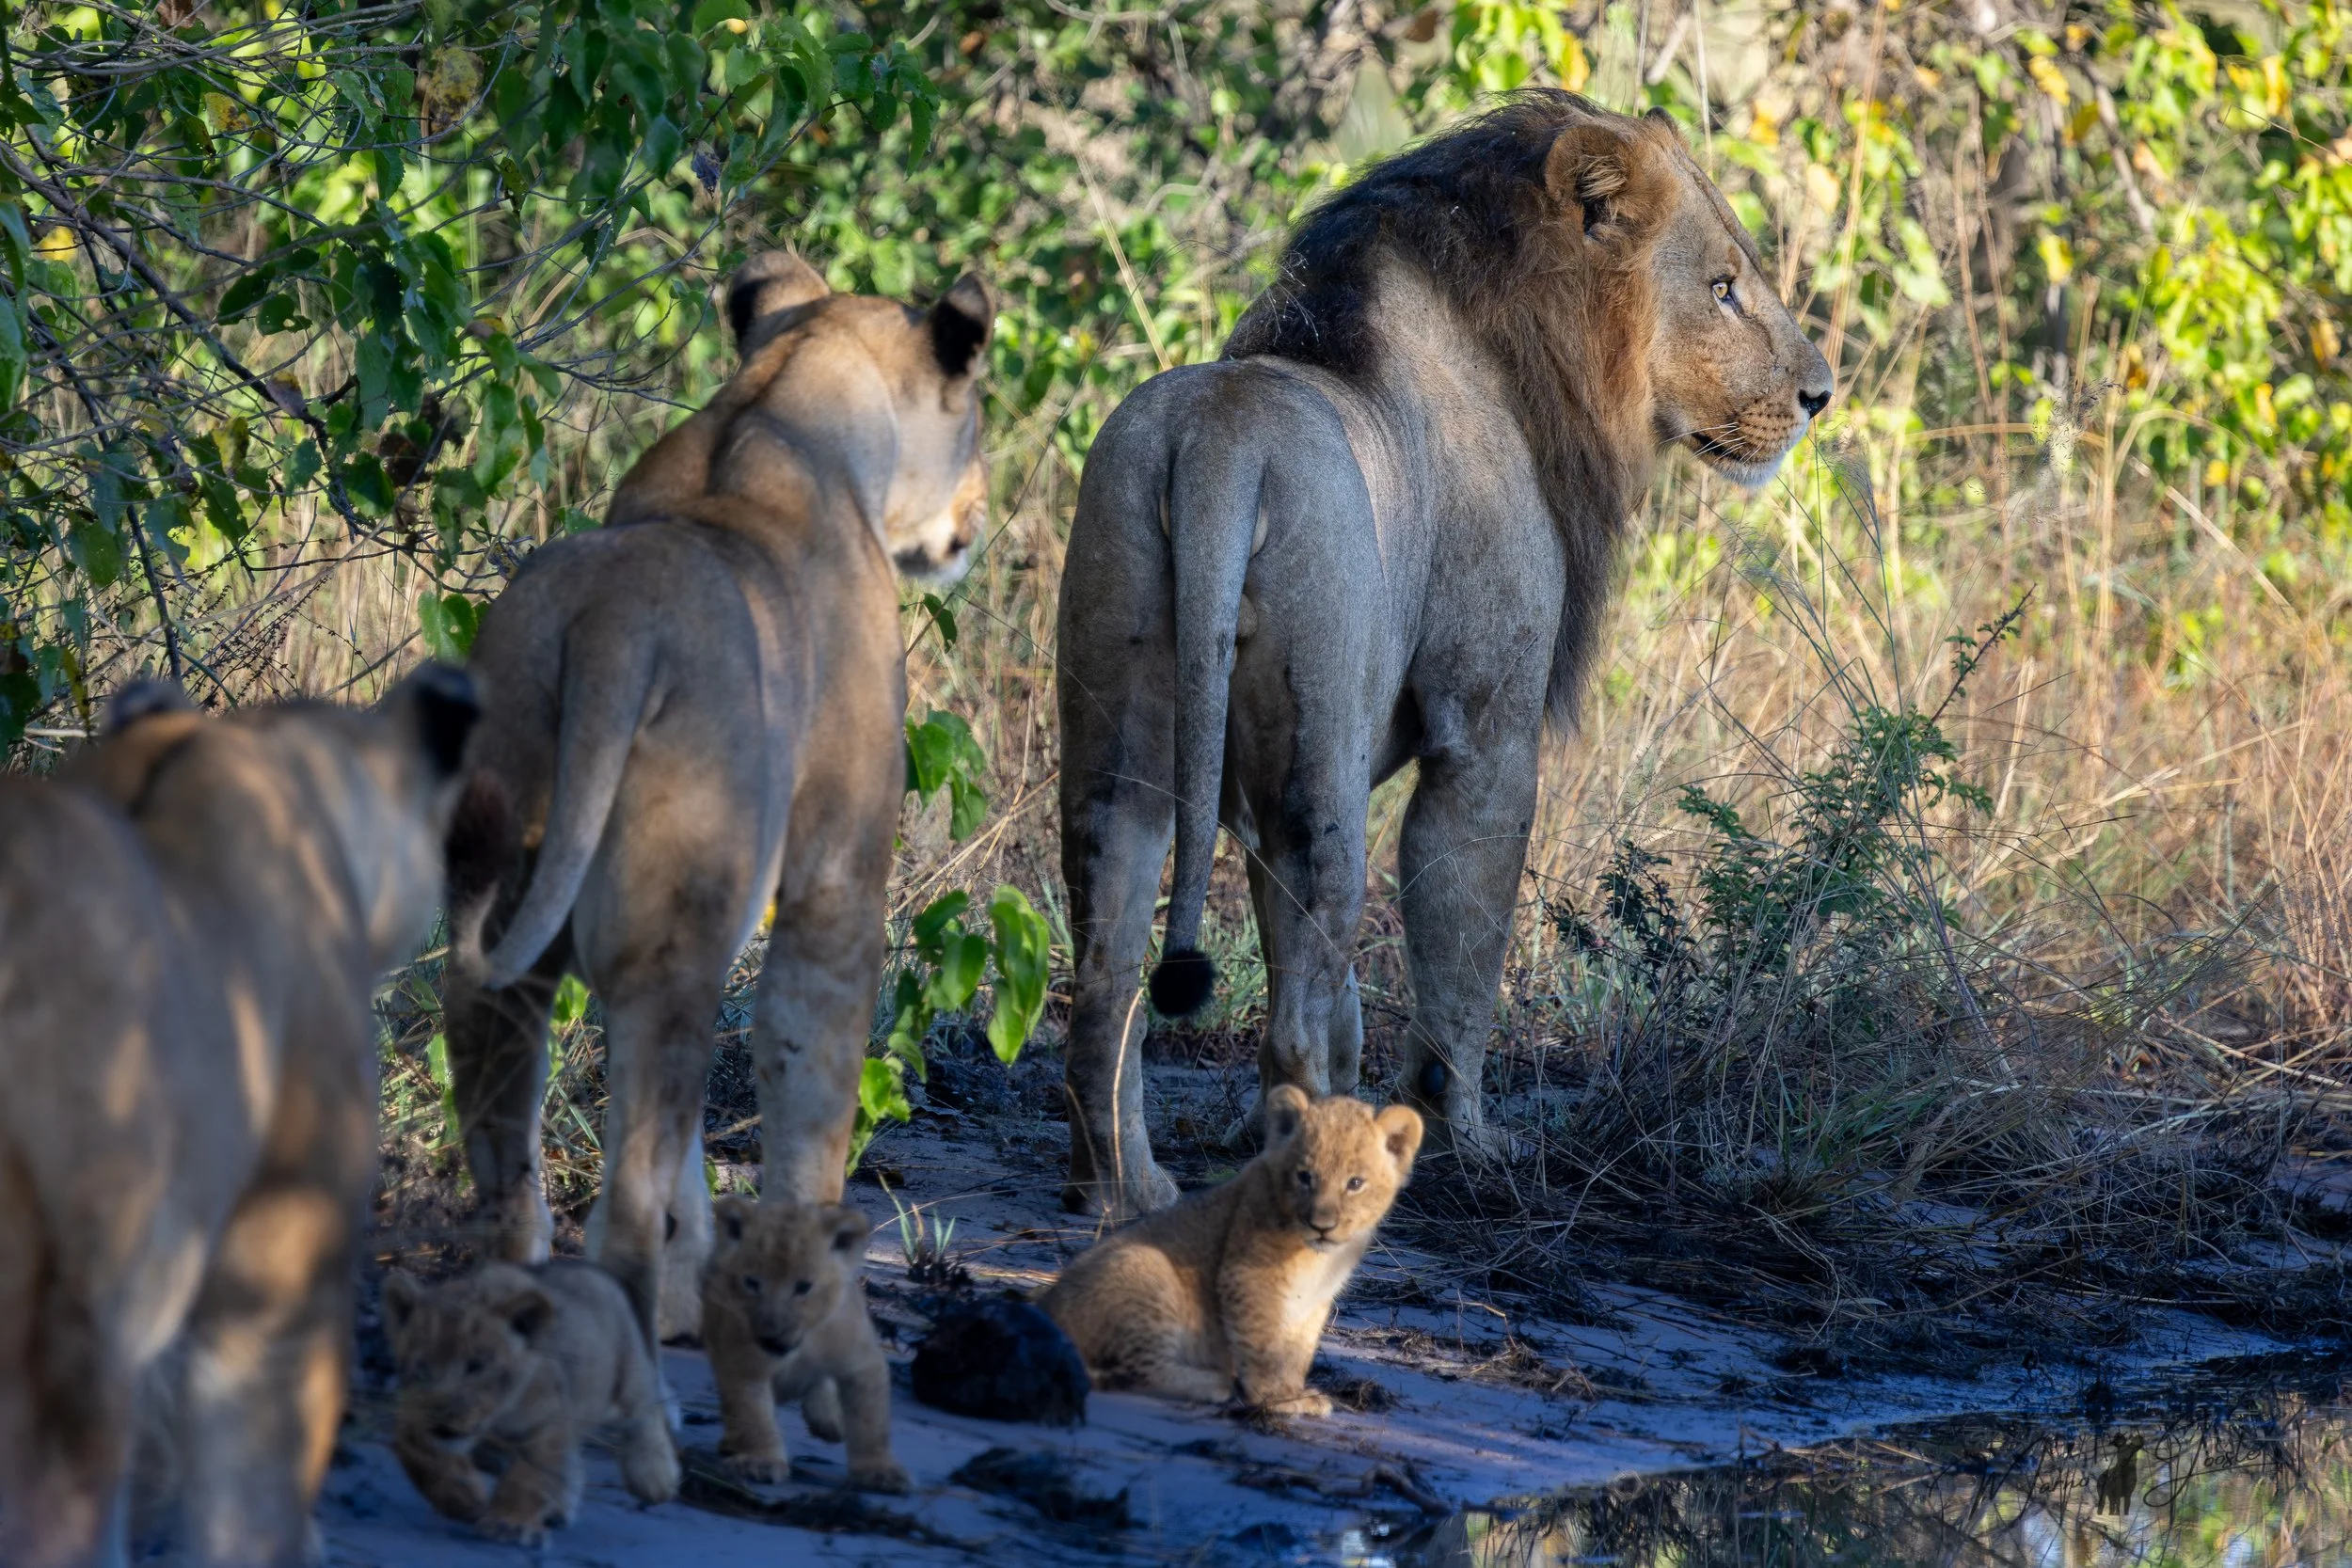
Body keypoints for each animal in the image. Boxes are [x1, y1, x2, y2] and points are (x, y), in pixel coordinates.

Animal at [380, 1259, 679, 1543]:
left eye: (476, 1366)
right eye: (421, 1368)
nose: (442, 1418)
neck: (496, 1415)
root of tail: (594, 1271)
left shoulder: (546, 1420)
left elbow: (528, 1474)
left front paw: (508, 1523)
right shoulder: (412, 1412)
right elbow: (417, 1449)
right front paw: (461, 1496)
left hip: (629, 1375)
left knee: (646, 1414)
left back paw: (654, 1478)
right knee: (572, 1461)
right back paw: (557, 1510)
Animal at [439, 253, 995, 1345]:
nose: (980, 512)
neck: (779, 400)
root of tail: (610, 622)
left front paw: (701, 1287)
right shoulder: (836, 877)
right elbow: (809, 1079)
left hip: (511, 938)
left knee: (512, 1177)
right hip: (671, 936)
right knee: (623, 1195)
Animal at [700, 1196, 909, 1494]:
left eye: (804, 1287)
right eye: (751, 1283)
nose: (772, 1335)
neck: (798, 1348)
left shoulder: (861, 1361)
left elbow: (870, 1422)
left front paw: (879, 1471)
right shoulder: (742, 1363)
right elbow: (753, 1415)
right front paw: (760, 1462)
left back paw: (829, 1421)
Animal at [1040, 1087, 1422, 1414]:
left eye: (1355, 1183)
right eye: (1304, 1176)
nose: (1321, 1226)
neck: (1319, 1257)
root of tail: (1046, 1307)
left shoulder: (1313, 1300)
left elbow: (1297, 1349)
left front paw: (1293, 1391)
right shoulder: (1248, 1278)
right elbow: (1264, 1343)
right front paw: (1276, 1399)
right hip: (1148, 1265)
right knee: (1137, 1370)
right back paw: (1214, 1384)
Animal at [1055, 92, 1834, 1215]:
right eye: (1724, 287)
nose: (1821, 394)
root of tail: (1217, 440)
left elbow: (1330, 970)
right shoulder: (1487, 726)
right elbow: (1463, 937)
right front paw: (1468, 1134)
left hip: (1122, 717)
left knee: (1108, 972)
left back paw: (1128, 1191)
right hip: (1320, 737)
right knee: (1297, 1006)